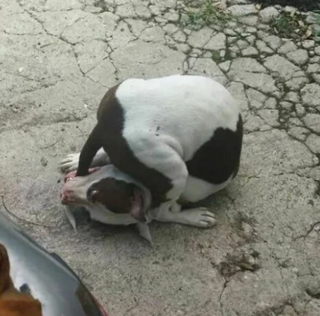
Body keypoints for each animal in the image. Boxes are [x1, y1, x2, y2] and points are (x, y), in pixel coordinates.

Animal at [59, 75, 242, 243]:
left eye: (94, 194)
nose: (65, 194)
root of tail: (106, 124)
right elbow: (164, 213)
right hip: (176, 172)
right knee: (162, 213)